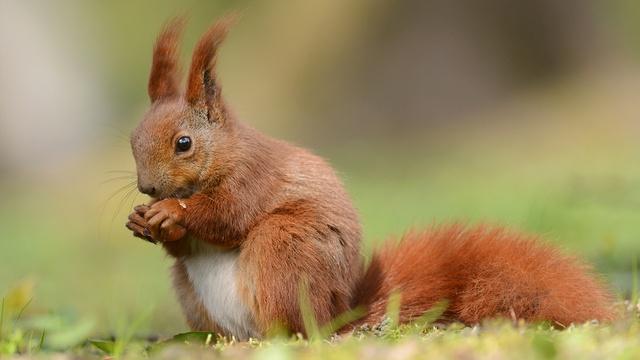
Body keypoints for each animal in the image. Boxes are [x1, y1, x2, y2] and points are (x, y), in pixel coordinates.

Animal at [126, 17, 616, 340]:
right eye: (132, 138)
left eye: (184, 143)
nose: (148, 189)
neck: (224, 153)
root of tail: (337, 318)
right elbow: (186, 243)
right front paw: (141, 220)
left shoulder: (253, 177)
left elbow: (225, 215)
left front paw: (171, 211)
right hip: (193, 291)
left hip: (282, 249)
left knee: (294, 329)